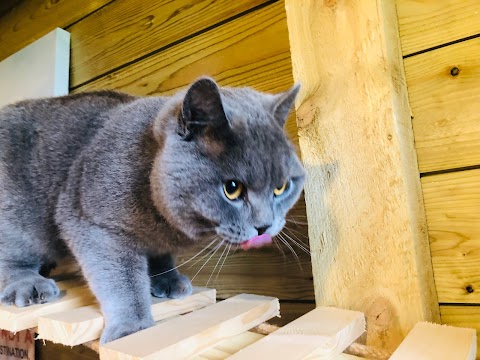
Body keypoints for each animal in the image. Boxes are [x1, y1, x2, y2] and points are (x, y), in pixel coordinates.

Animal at [0, 79, 304, 344]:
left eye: (281, 187)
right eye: (232, 188)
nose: (265, 225)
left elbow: (161, 256)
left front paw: (167, 280)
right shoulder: (92, 222)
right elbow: (121, 280)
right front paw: (132, 329)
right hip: (18, 219)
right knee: (12, 259)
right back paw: (31, 285)